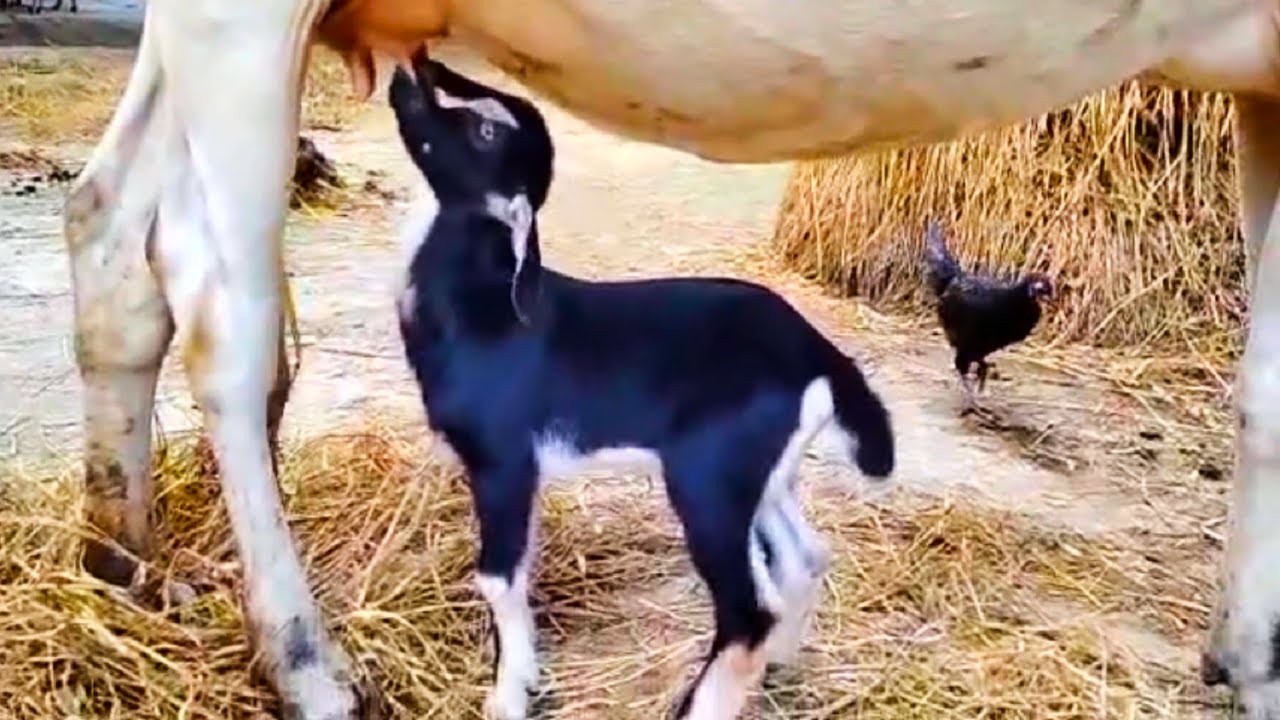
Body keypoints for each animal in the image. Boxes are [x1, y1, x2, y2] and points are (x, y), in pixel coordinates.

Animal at [388, 54, 895, 720]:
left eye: (486, 132)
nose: (410, 71)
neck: (484, 310)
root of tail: (819, 354)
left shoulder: (504, 463)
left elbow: (498, 578)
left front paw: (509, 694)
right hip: (760, 476)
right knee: (801, 558)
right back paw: (778, 670)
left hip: (708, 478)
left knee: (749, 607)